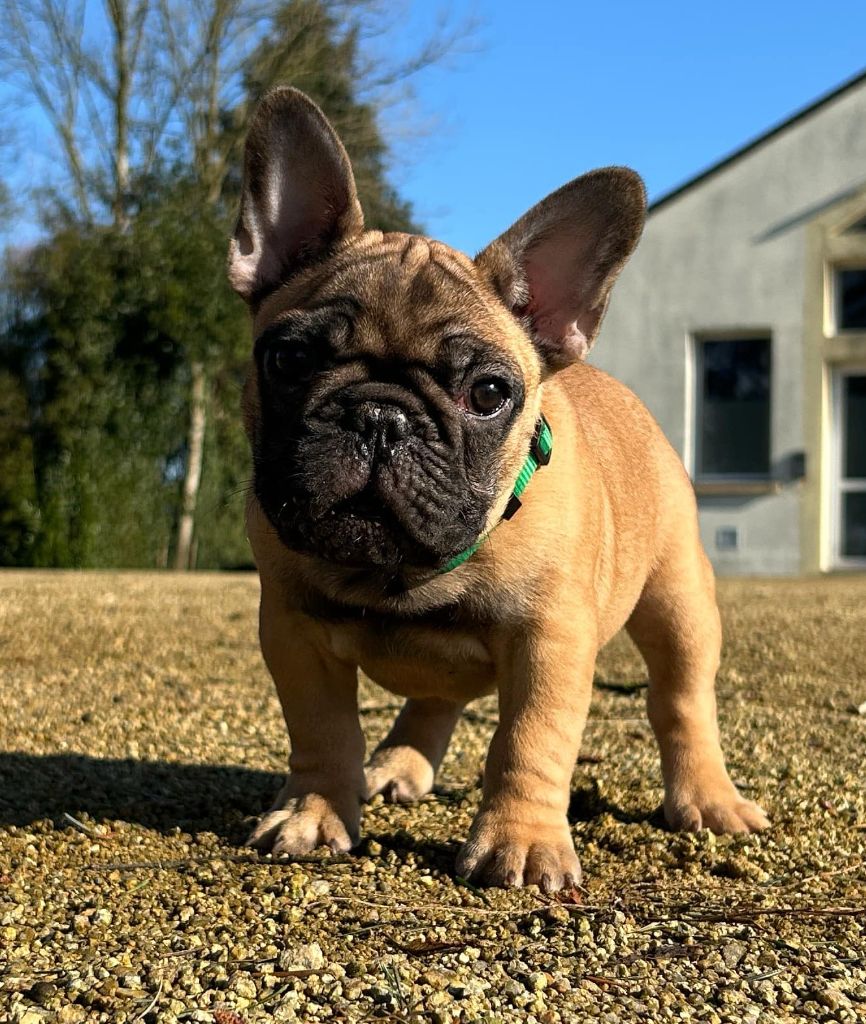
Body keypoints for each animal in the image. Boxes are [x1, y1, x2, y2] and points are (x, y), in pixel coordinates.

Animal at [227, 86, 769, 888]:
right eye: (289, 359)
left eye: (487, 393)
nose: (381, 415)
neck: (407, 572)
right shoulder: (294, 631)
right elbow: (321, 730)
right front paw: (316, 812)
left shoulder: (551, 641)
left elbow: (529, 742)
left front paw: (522, 840)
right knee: (434, 698)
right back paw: (398, 765)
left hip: (679, 599)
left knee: (681, 699)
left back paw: (708, 798)